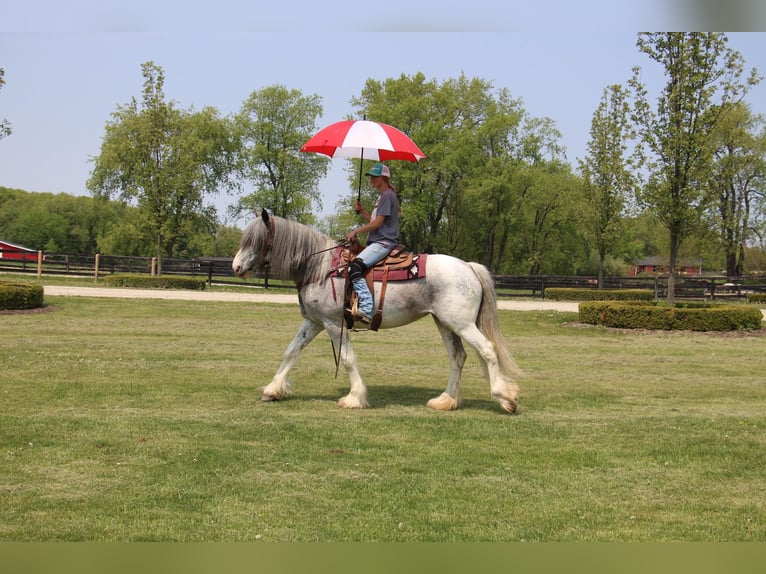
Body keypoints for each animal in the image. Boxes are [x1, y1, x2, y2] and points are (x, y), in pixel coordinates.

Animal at [232, 210, 520, 414]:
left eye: (256, 241)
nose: (235, 267)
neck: (319, 268)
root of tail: (468, 267)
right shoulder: (315, 322)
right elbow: (291, 351)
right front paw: (273, 390)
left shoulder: (334, 324)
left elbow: (348, 359)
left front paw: (354, 398)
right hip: (445, 324)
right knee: (458, 358)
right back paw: (446, 400)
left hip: (462, 324)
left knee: (487, 350)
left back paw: (505, 398)